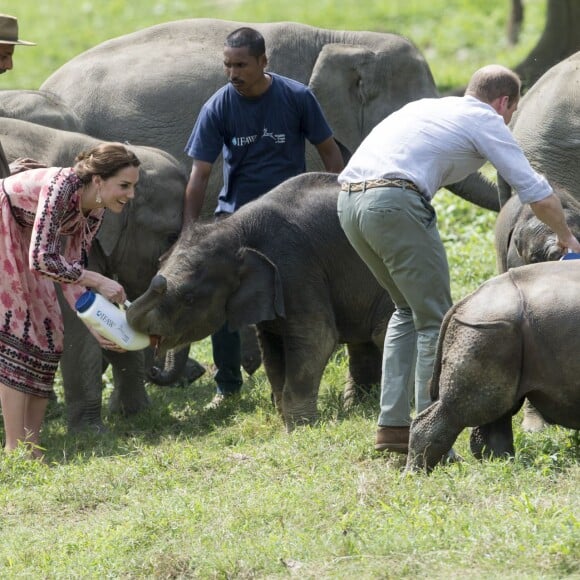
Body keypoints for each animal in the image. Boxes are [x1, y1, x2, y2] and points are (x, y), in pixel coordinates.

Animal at [124, 172, 392, 430]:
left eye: (189, 298)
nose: (154, 369)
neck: (235, 229)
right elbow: (272, 349)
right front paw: (290, 423)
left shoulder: (296, 268)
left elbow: (317, 338)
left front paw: (300, 428)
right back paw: (357, 405)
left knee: (379, 332)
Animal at [408, 260, 580, 474]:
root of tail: (463, 303)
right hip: (484, 328)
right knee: (463, 410)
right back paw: (415, 474)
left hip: (496, 332)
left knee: (498, 410)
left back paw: (503, 465)